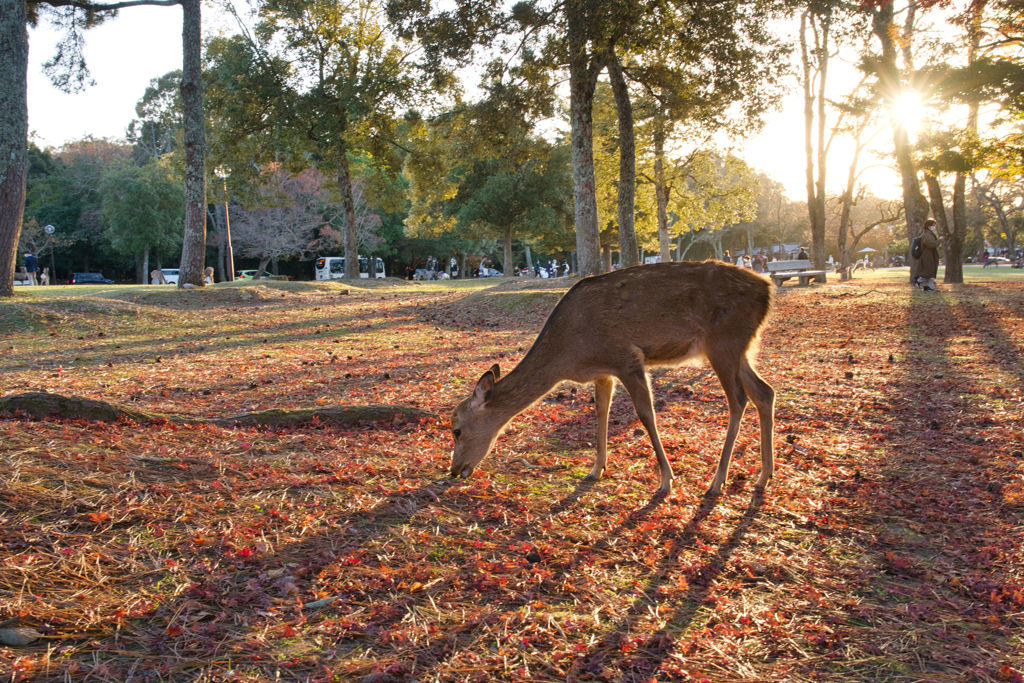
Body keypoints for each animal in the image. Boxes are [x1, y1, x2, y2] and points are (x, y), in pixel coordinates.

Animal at [450, 262, 774, 497]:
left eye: (456, 430)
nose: (455, 470)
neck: (570, 355)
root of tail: (768, 288)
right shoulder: (603, 371)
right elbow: (601, 410)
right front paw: (597, 469)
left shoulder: (626, 358)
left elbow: (646, 414)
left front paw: (666, 480)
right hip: (741, 346)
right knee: (764, 392)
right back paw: (763, 477)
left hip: (723, 341)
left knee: (739, 400)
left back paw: (717, 482)